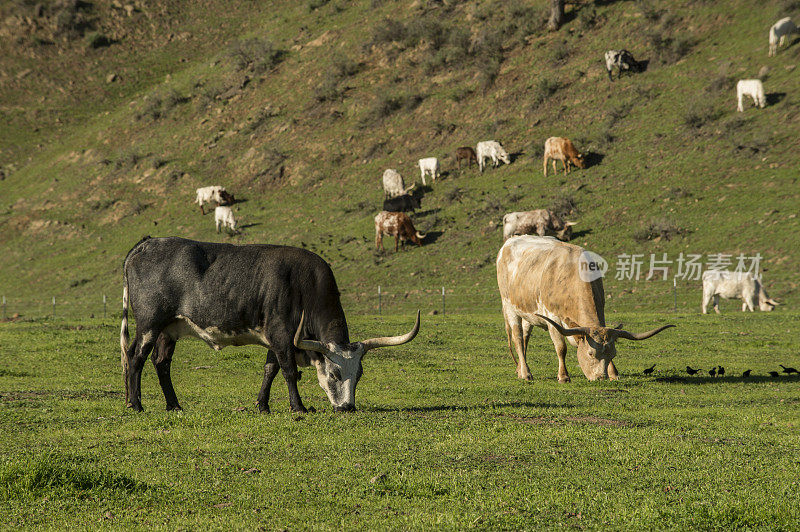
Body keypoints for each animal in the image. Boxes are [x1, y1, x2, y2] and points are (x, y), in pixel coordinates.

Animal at [120, 235, 418, 414]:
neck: (304, 286)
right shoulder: (282, 336)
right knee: (135, 357)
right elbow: (289, 372)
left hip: (168, 329)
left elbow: (270, 369)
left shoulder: (274, 339)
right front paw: (298, 407)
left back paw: (174, 405)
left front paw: (262, 405)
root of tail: (145, 244)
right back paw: (135, 404)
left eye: (359, 374)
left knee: (161, 362)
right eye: (334, 373)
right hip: (149, 323)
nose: (347, 407)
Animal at [494, 237, 676, 382]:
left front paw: (614, 373)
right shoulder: (552, 319)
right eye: (590, 353)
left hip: (528, 313)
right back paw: (526, 373)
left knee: (525, 337)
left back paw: (520, 369)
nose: (600, 378)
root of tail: (509, 242)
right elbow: (561, 348)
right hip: (510, 307)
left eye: (613, 355)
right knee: (518, 338)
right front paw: (564, 376)